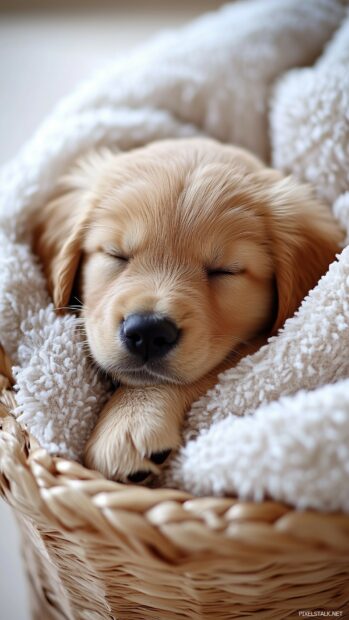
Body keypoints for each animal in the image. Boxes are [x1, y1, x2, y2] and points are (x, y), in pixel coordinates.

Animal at [31, 138, 342, 482]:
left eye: (224, 271)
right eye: (116, 254)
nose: (148, 331)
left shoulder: (264, 346)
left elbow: (211, 370)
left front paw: (129, 419)